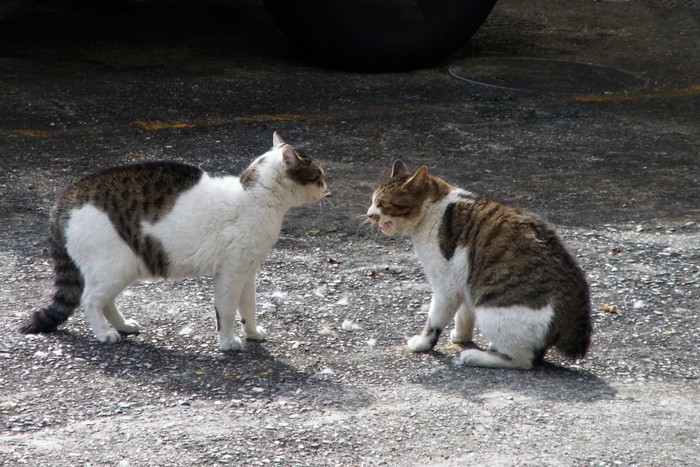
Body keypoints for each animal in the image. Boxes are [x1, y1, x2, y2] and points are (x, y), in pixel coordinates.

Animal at [19, 132, 328, 352]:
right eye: (317, 175)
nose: (327, 187)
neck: (256, 198)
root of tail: (66, 196)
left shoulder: (248, 271)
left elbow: (248, 307)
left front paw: (252, 332)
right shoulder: (231, 272)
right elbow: (227, 310)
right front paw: (228, 342)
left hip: (121, 269)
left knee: (105, 301)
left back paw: (123, 326)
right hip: (115, 267)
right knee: (90, 300)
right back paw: (104, 333)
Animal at [366, 161, 592, 370]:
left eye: (383, 203)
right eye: (372, 200)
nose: (369, 214)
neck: (434, 208)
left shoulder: (445, 286)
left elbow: (434, 320)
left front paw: (423, 343)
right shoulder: (465, 280)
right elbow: (464, 314)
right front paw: (461, 336)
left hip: (493, 313)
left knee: (524, 361)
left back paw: (474, 356)